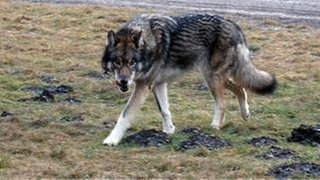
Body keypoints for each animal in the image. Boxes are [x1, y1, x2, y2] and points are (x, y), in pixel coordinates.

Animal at [100, 14, 278, 146]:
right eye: (117, 62)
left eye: (132, 62)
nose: (123, 82)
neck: (148, 44)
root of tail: (233, 24)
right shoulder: (158, 84)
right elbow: (164, 110)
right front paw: (169, 130)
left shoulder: (144, 85)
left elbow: (126, 113)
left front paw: (112, 139)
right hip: (213, 77)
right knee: (241, 89)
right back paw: (245, 114)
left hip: (212, 78)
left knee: (223, 103)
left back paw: (216, 125)